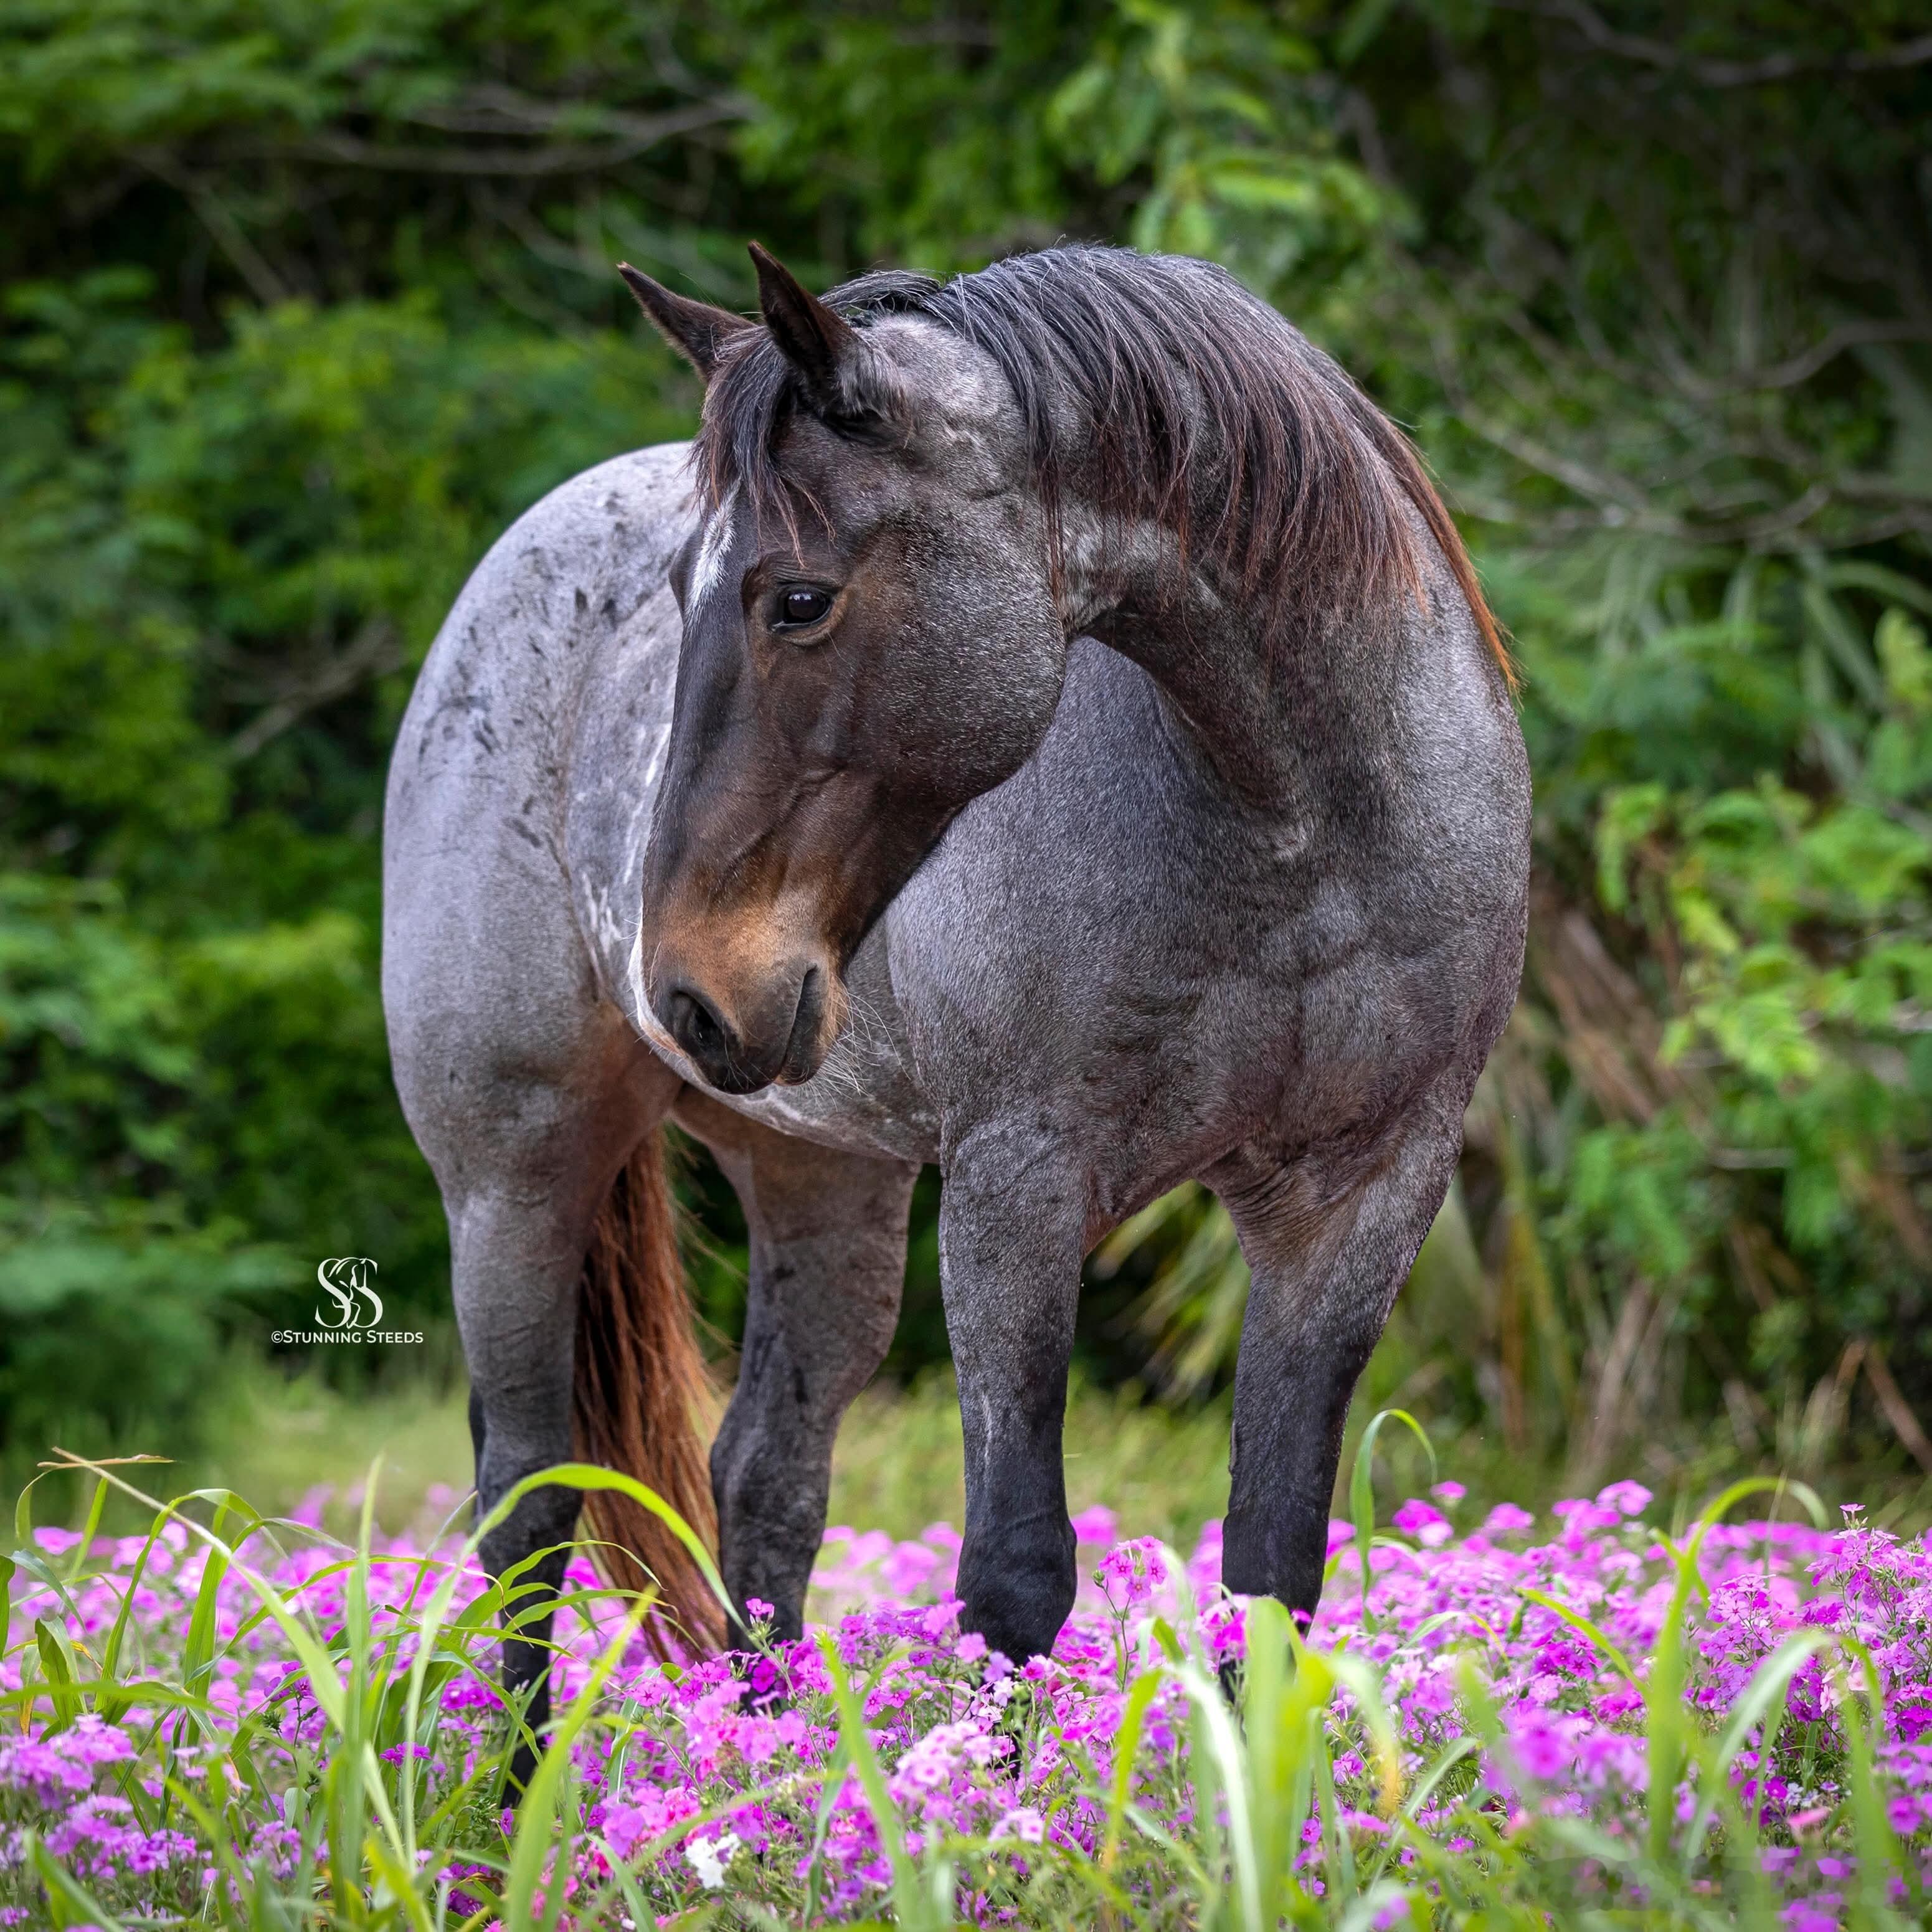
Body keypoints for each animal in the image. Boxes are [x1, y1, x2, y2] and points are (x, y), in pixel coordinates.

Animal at [381, 241, 1530, 1759]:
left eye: (796, 598)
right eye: (681, 591)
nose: (685, 984)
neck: (1307, 834)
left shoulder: (1359, 1197)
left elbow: (1273, 1574)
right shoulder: (1018, 1186)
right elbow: (1015, 1575)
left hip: (823, 1186)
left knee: (766, 1481)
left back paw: (761, 1771)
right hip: (515, 1173)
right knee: (527, 1508)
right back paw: (507, 1806)